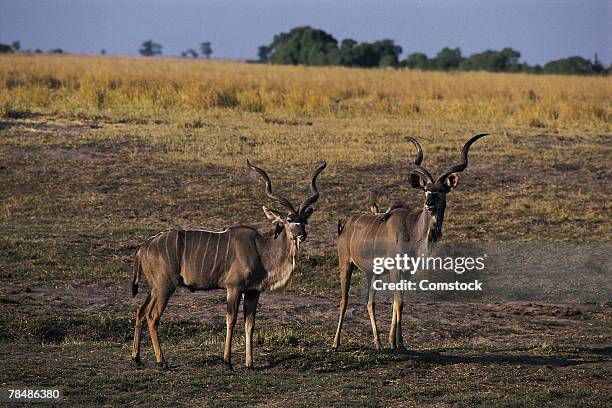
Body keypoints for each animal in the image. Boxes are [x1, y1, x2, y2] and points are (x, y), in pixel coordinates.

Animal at [130, 159, 326, 370]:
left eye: (304, 220)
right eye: (289, 220)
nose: (302, 235)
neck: (261, 250)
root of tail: (144, 246)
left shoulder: (253, 291)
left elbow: (250, 324)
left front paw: (250, 364)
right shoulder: (234, 287)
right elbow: (231, 320)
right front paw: (227, 362)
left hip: (156, 287)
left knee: (141, 311)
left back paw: (137, 358)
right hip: (165, 286)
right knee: (152, 316)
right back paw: (162, 362)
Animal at [332, 134, 490, 350]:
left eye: (441, 190)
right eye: (426, 190)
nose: (429, 203)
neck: (413, 230)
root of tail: (344, 223)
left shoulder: (407, 272)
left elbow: (399, 303)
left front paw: (397, 343)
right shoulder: (395, 269)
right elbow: (398, 302)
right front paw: (397, 343)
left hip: (372, 272)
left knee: (370, 303)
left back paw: (378, 343)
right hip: (346, 263)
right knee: (344, 300)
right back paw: (336, 343)